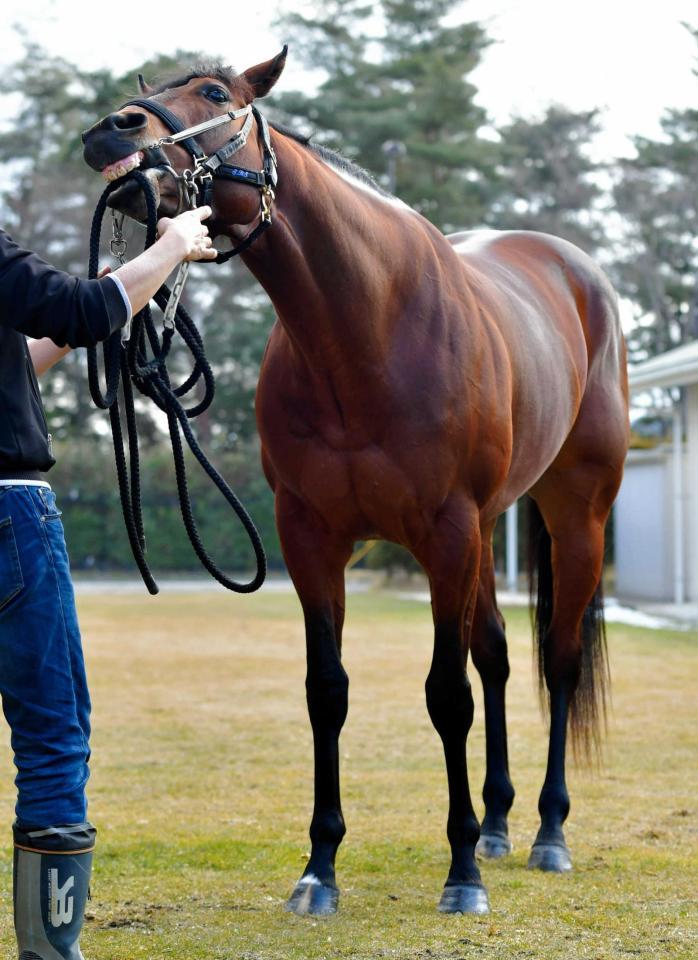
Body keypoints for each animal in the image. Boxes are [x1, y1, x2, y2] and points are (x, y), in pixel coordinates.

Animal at [83, 50, 632, 916]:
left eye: (214, 93)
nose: (112, 130)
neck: (365, 331)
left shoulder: (447, 532)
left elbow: (446, 696)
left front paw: (461, 873)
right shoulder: (311, 536)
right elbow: (328, 691)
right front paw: (321, 869)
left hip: (573, 516)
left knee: (560, 661)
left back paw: (547, 832)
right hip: (487, 535)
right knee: (499, 656)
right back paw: (499, 823)